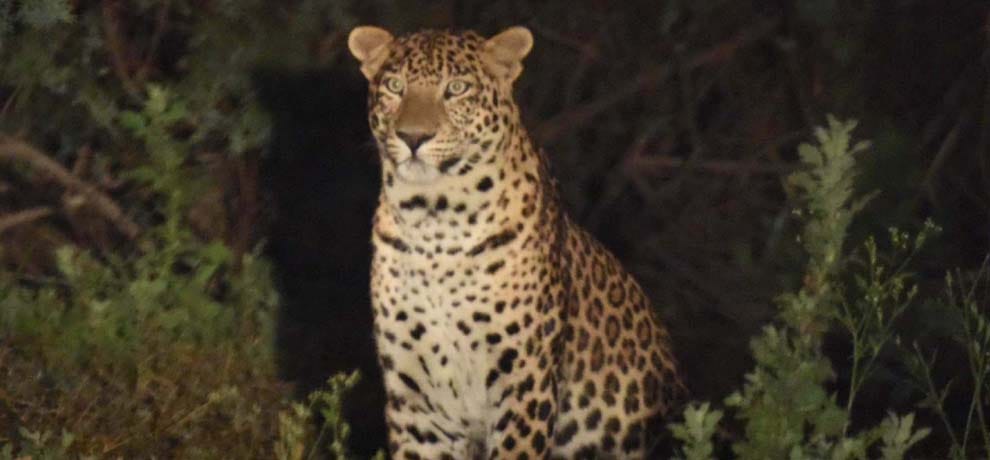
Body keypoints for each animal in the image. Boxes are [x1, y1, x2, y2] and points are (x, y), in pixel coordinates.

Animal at [347, 25, 684, 459]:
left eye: (456, 89)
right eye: (394, 86)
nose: (413, 137)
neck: (434, 221)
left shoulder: (525, 380)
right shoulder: (417, 401)